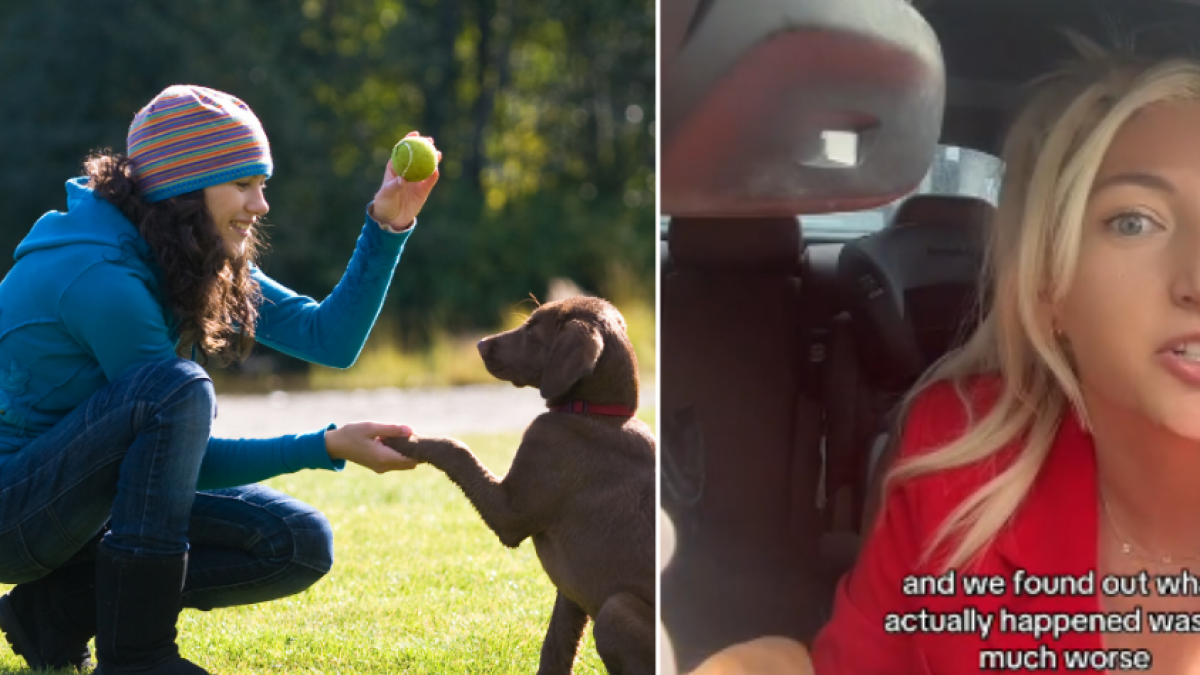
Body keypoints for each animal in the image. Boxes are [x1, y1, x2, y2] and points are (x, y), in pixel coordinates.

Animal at [384, 295, 657, 672]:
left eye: (531, 329)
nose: (479, 344)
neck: (596, 413)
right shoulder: (570, 592)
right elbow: (556, 645)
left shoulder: (510, 514)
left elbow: (456, 449)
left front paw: (402, 440)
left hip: (615, 611)